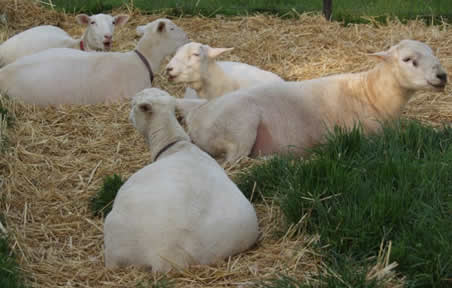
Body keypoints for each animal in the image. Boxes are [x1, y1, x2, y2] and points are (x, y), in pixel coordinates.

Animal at [175, 39, 446, 164]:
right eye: (408, 59)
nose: (442, 76)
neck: (370, 94)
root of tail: (197, 114)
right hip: (240, 127)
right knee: (234, 161)